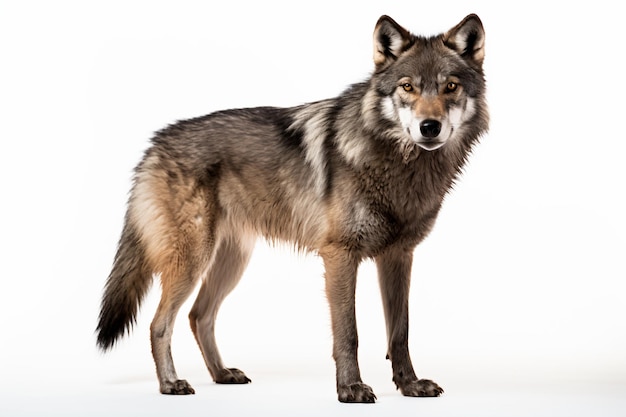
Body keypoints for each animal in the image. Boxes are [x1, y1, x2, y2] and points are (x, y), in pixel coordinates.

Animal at [96, 14, 488, 402]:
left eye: (450, 87)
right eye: (408, 87)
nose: (429, 127)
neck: (398, 164)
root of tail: (154, 145)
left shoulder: (398, 256)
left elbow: (400, 332)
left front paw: (409, 385)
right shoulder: (340, 255)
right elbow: (349, 333)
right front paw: (350, 388)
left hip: (231, 263)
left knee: (199, 316)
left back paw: (222, 374)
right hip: (192, 261)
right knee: (160, 323)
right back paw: (170, 384)